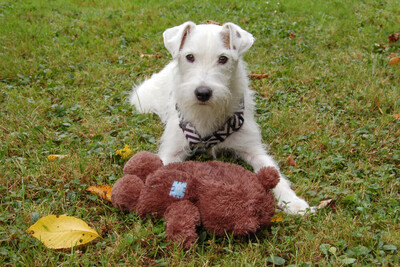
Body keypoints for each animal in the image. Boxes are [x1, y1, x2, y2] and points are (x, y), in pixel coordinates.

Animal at [131, 21, 312, 216]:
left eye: (223, 59)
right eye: (189, 57)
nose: (203, 93)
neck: (207, 113)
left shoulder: (254, 150)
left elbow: (275, 174)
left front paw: (293, 202)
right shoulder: (172, 151)